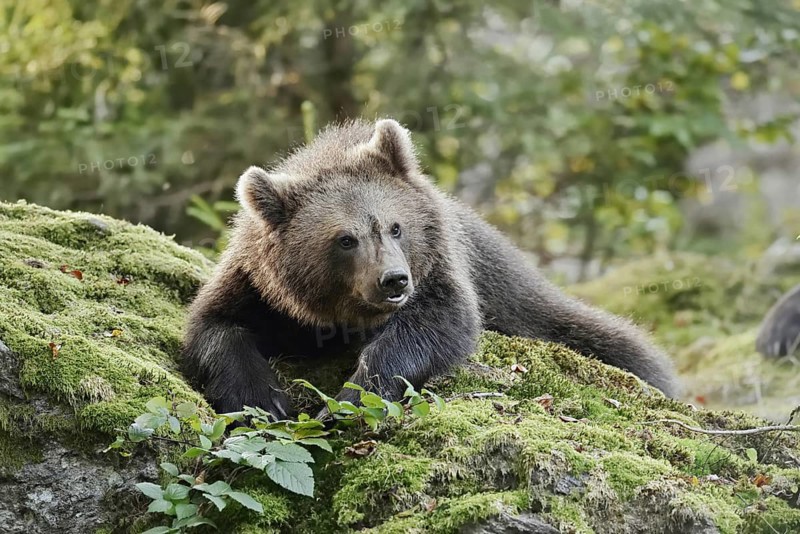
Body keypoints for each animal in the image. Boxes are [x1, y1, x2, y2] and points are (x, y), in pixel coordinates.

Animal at [182, 118, 678, 419]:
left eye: (396, 227)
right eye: (345, 239)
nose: (394, 281)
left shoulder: (442, 268)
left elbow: (436, 323)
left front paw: (350, 396)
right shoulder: (260, 288)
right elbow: (215, 325)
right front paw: (261, 398)